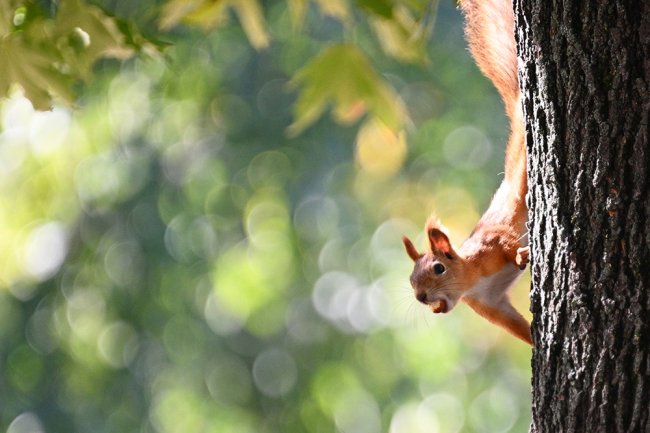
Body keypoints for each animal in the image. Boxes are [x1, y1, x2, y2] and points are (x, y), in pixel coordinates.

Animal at [400, 0, 532, 344]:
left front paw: (521, 257)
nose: (421, 297)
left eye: (438, 268)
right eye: (411, 279)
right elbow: (515, 325)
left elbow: (508, 242)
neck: (473, 278)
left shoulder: (494, 242)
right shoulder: (490, 303)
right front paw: (536, 343)